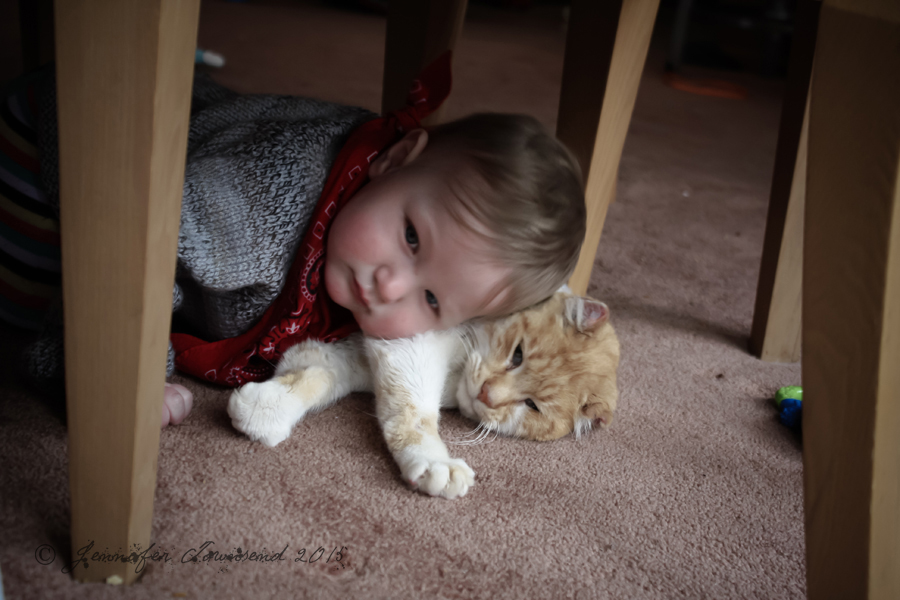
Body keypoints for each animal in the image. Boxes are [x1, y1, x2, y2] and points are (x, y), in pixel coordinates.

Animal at [227, 291, 620, 499]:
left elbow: (319, 373)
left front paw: (268, 407)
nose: (487, 395)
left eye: (532, 406)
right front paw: (435, 462)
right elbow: (413, 413)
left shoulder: (363, 358)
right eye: (518, 354)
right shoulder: (406, 342)